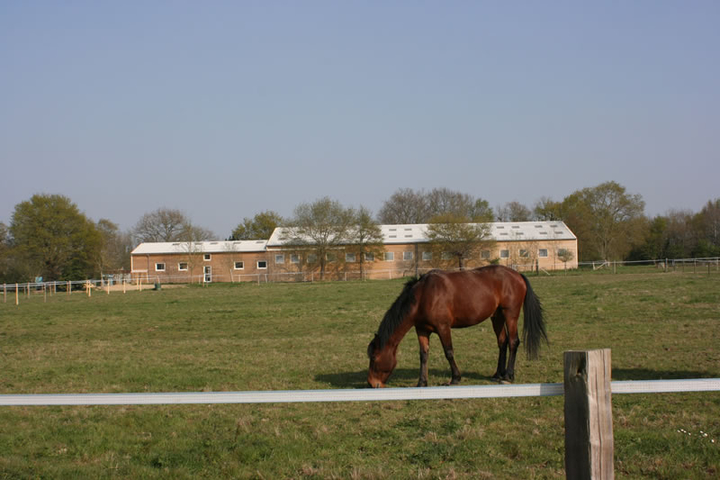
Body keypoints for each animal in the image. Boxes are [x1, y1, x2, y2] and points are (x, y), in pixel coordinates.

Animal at [366, 264, 544, 388]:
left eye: (374, 358)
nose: (371, 383)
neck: (423, 296)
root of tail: (517, 275)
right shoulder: (422, 330)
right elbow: (423, 355)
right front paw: (422, 382)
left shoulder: (443, 327)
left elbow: (449, 352)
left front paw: (455, 379)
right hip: (497, 317)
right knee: (503, 342)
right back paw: (497, 374)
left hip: (510, 315)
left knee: (513, 342)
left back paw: (508, 376)